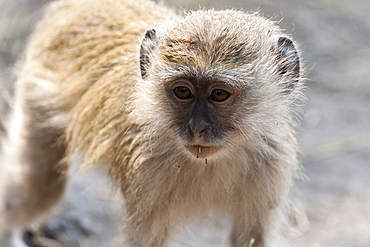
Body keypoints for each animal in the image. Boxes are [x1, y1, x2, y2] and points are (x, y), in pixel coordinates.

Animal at [0, 0, 304, 246]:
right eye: (183, 91)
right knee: (38, 191)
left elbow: (253, 236)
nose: (197, 128)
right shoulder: (146, 169)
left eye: (219, 94)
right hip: (39, 95)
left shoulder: (271, 161)